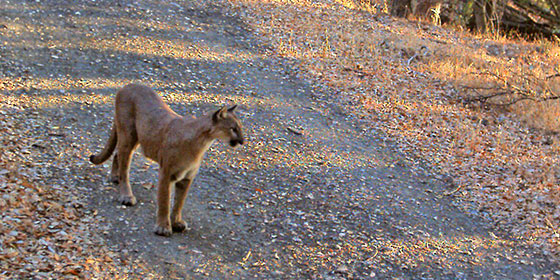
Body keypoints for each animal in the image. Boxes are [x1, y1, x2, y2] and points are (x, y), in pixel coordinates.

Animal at [89, 85, 243, 236]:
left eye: (240, 128)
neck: (201, 143)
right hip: (128, 134)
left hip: (136, 138)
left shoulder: (187, 177)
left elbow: (179, 201)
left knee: (117, 154)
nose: (242, 141)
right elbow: (164, 200)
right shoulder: (166, 172)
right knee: (124, 165)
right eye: (233, 128)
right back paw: (126, 196)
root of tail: (126, 86)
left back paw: (115, 177)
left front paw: (177, 222)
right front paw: (163, 227)